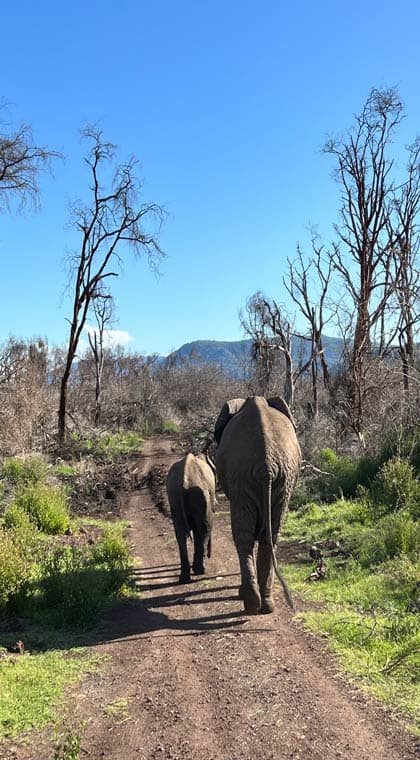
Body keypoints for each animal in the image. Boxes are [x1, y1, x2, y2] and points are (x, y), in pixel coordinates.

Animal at [166, 452, 216, 584]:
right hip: (199, 495)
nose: (210, 555)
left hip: (174, 497)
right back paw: (200, 570)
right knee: (204, 527)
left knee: (180, 533)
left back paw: (184, 578)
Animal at [214, 395, 301, 614]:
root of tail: (266, 466)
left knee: (243, 535)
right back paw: (265, 604)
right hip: (279, 478)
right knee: (271, 535)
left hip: (245, 477)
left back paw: (251, 603)